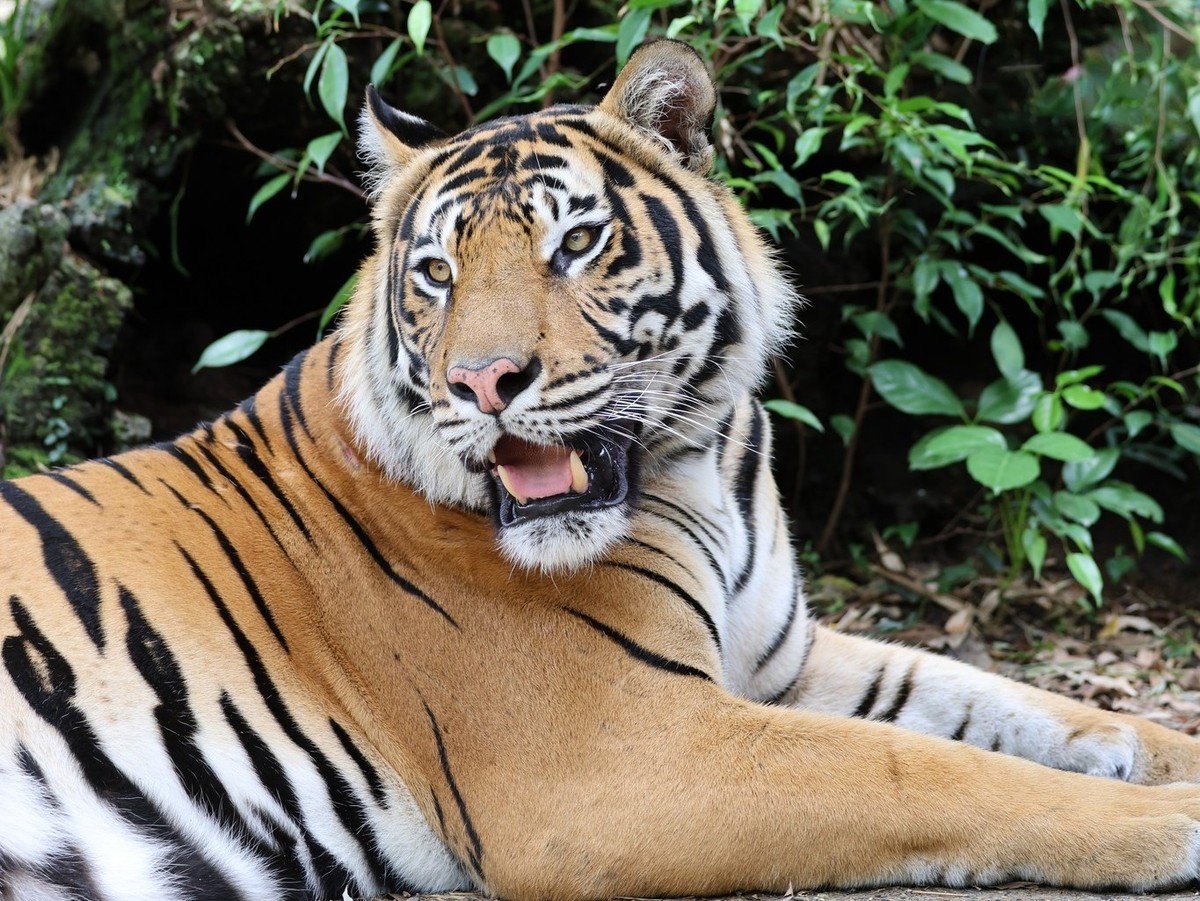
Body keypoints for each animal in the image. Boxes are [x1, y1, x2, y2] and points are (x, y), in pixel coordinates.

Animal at [4, 38, 1200, 901]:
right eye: (436, 273)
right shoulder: (619, 761)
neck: (697, 465)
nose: (483, 382)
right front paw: (1171, 825)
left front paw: (1167, 757)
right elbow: (930, 768)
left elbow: (1014, 706)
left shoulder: (782, 660)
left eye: (574, 245)